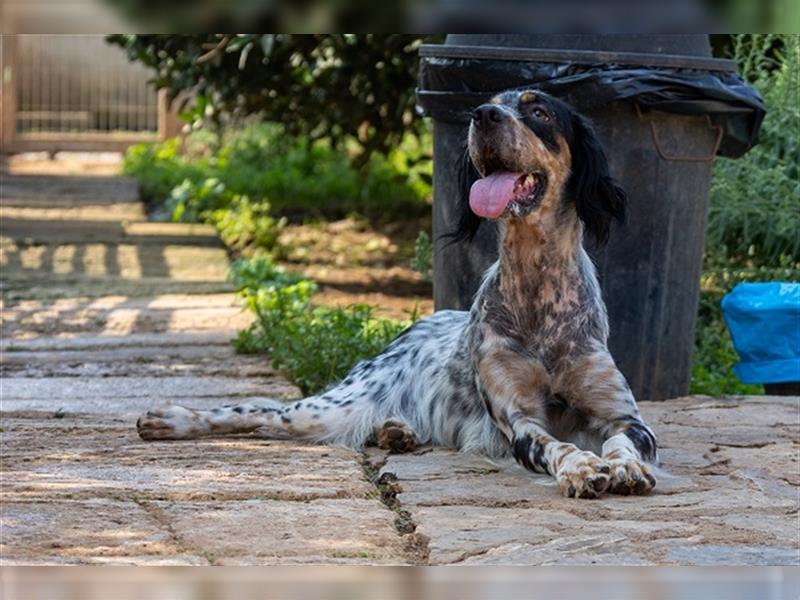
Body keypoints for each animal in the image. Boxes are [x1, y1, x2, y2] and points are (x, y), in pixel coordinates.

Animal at [138, 89, 660, 500]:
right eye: (491, 101)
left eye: (540, 112)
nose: (483, 114)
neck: (538, 292)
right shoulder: (519, 420)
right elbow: (559, 445)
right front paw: (583, 466)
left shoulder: (624, 415)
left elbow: (622, 442)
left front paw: (626, 467)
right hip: (328, 408)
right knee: (258, 411)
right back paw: (173, 419)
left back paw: (396, 432)